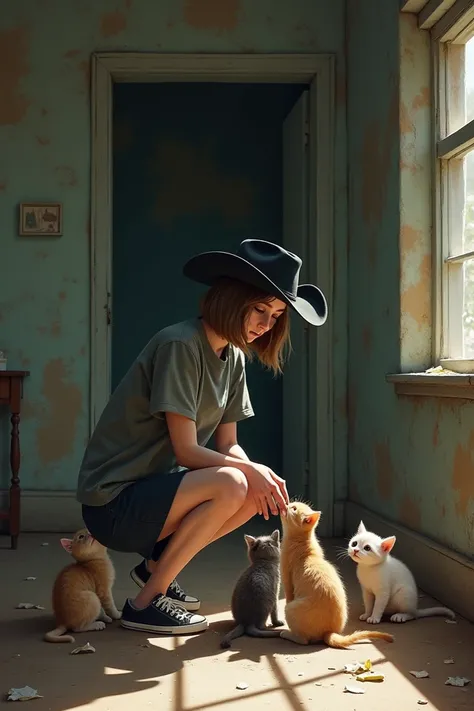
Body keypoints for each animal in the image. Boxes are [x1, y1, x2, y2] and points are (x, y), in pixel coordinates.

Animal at [280, 500, 394, 652]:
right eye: (292, 504)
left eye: (293, 508)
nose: (286, 504)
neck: (302, 543)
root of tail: (328, 632)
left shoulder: (287, 578)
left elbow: (288, 595)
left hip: (291, 609)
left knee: (304, 640)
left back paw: (287, 634)